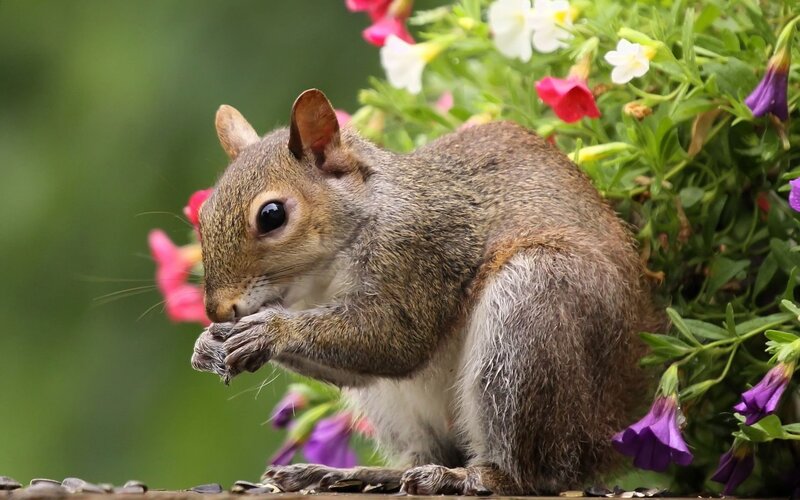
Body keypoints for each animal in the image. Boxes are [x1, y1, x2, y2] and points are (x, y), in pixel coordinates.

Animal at [191, 89, 662, 495]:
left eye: (272, 215)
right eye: (203, 212)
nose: (217, 310)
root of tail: (607, 427)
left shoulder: (421, 252)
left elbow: (396, 341)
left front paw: (269, 332)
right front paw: (207, 344)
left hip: (530, 319)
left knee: (532, 474)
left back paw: (467, 477)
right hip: (400, 408)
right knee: (427, 452)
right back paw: (352, 474)